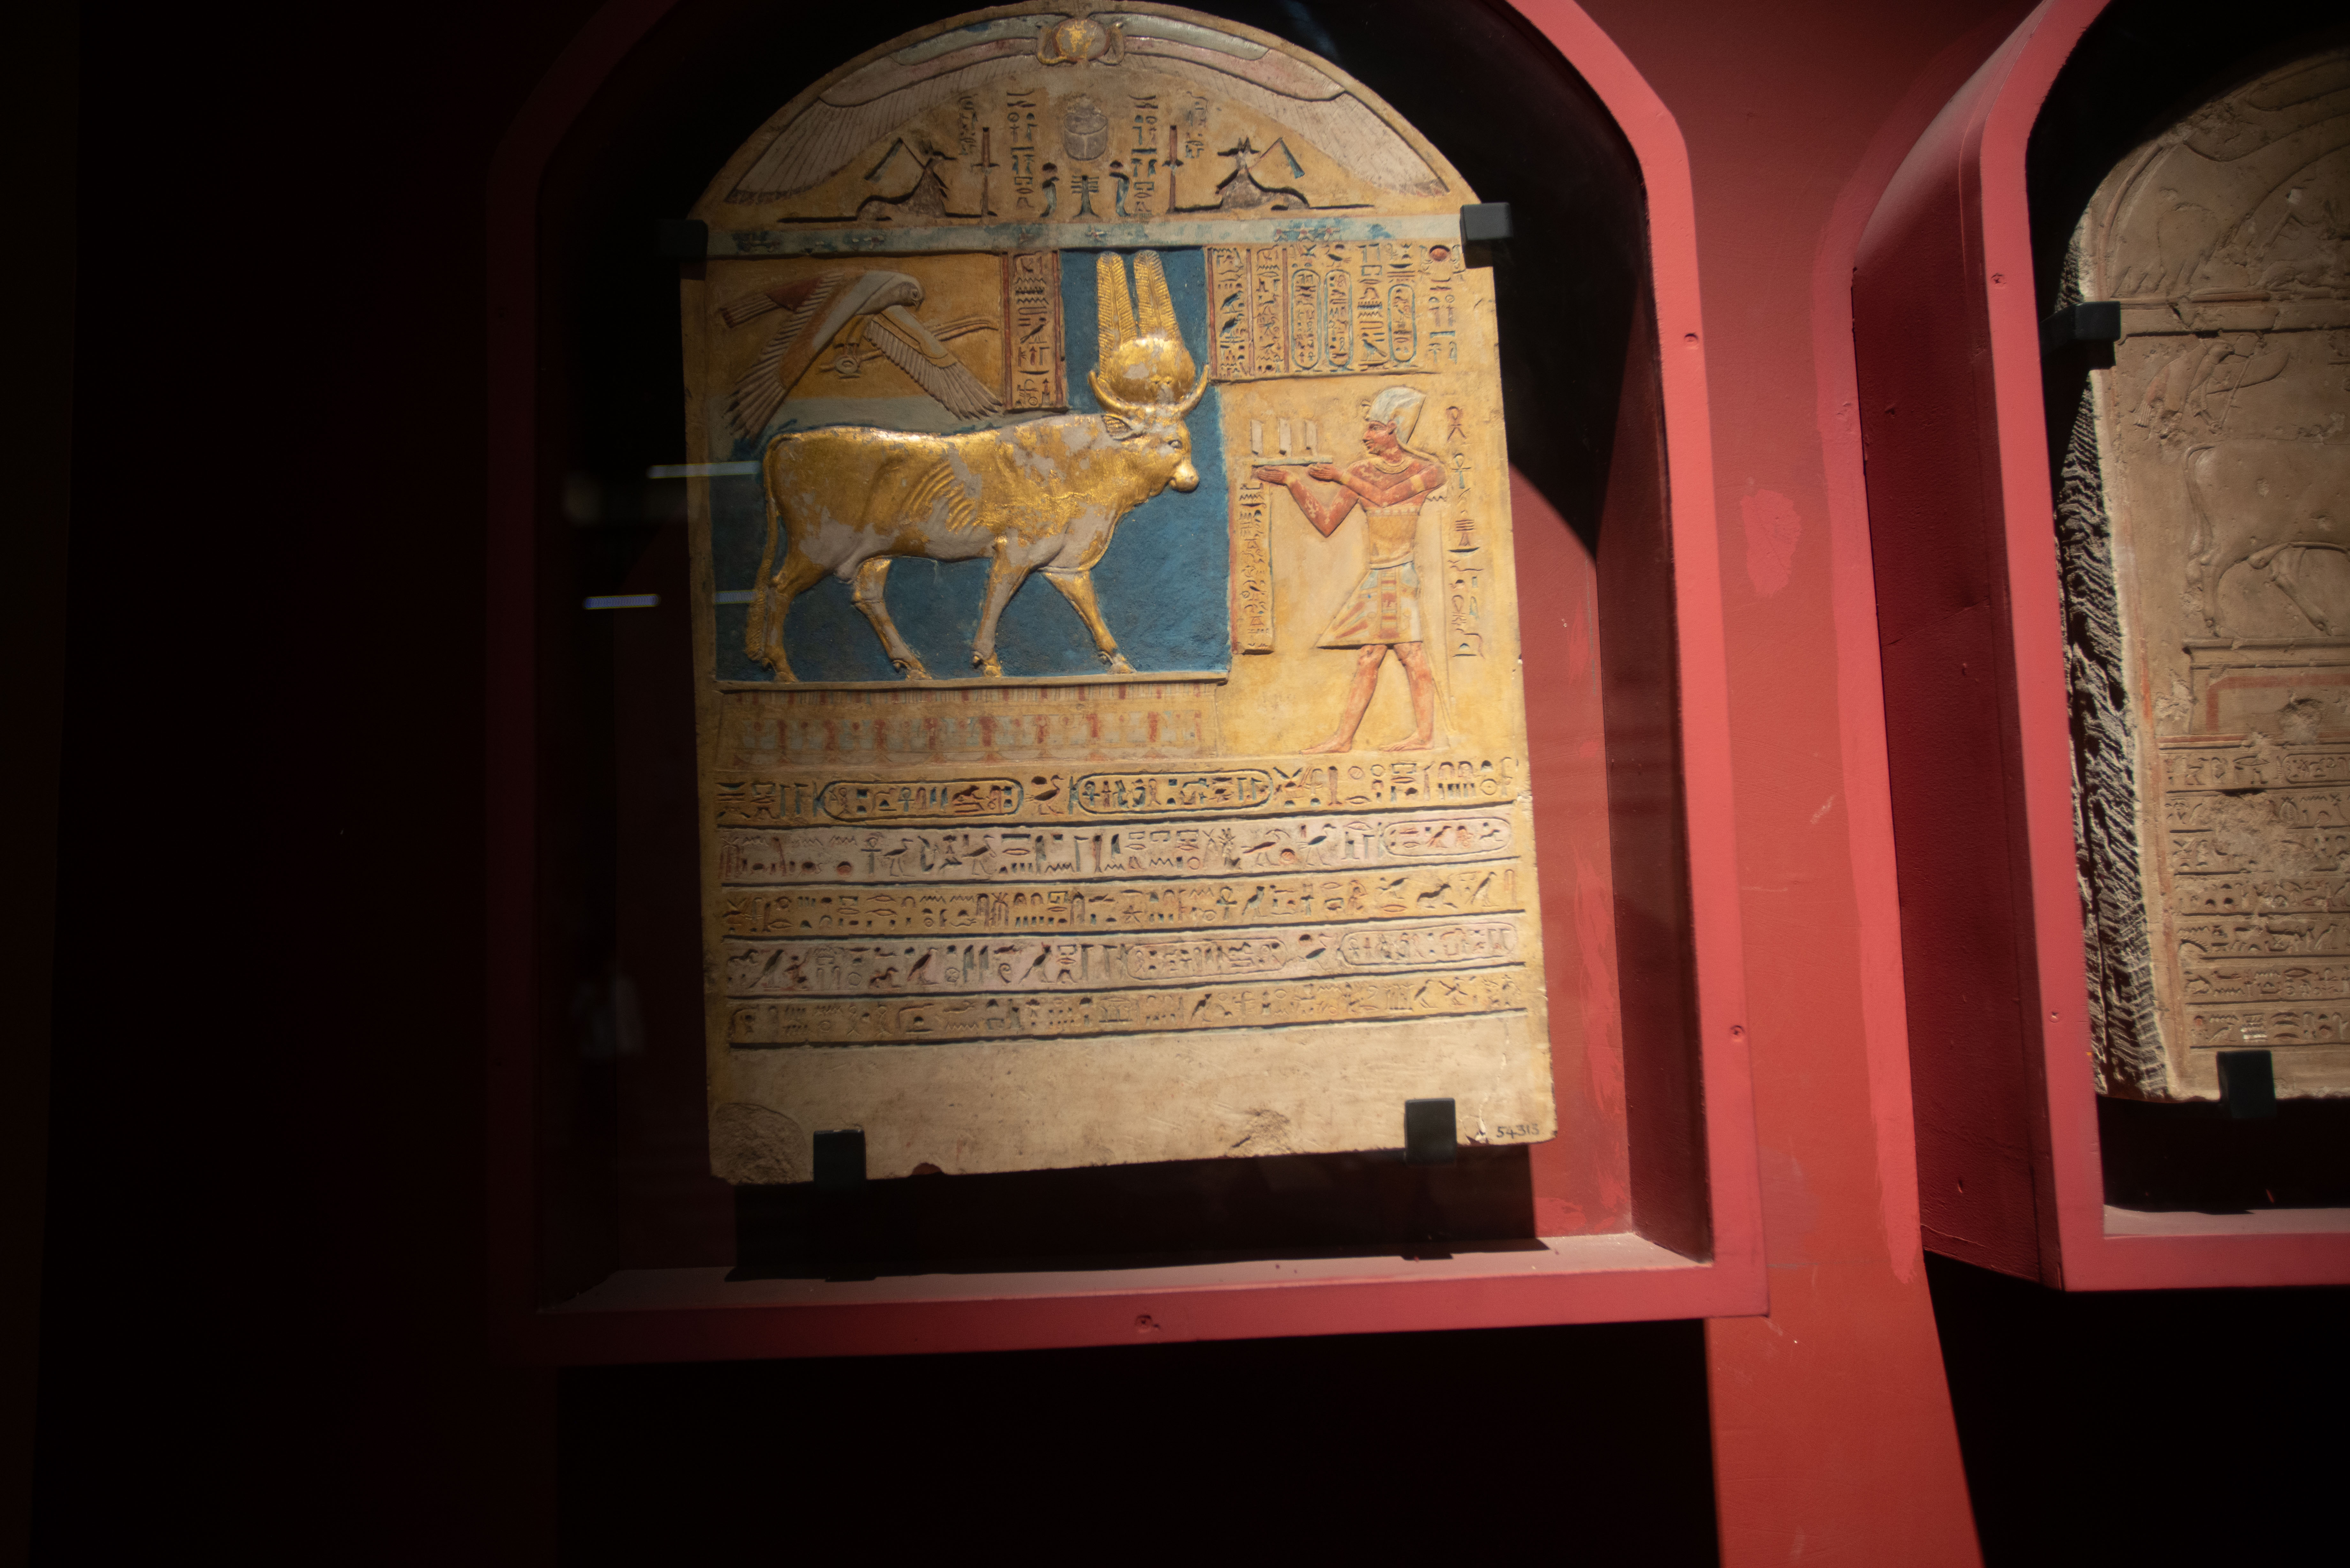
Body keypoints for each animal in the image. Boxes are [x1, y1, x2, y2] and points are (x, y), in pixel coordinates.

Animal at [745, 250, 1210, 681]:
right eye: (1173, 442)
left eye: (1186, 442)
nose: (1193, 480)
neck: (1087, 468)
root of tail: (790, 441)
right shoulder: (1017, 551)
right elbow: (997, 598)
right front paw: (987, 661)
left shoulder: (1065, 562)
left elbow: (1089, 606)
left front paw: (1120, 662)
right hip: (817, 544)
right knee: (780, 587)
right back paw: (783, 670)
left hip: (874, 551)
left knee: (867, 594)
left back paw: (913, 667)